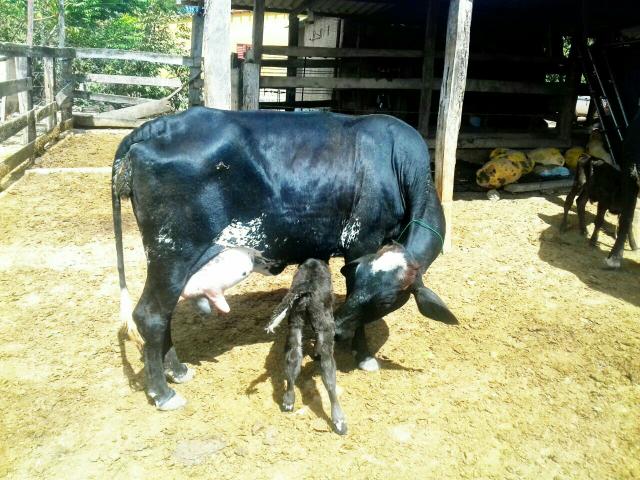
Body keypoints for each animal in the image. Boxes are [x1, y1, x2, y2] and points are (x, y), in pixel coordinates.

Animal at [112, 107, 457, 411]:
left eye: (386, 301)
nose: (337, 331)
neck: (398, 165)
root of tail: (161, 125)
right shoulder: (362, 241)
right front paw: (363, 355)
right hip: (171, 252)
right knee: (151, 316)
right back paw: (163, 393)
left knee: (164, 313)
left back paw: (178, 371)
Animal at [265, 258, 347, 435]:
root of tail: (305, 289)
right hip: (325, 325)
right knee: (328, 374)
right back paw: (339, 420)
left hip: (295, 322)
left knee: (293, 361)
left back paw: (288, 400)